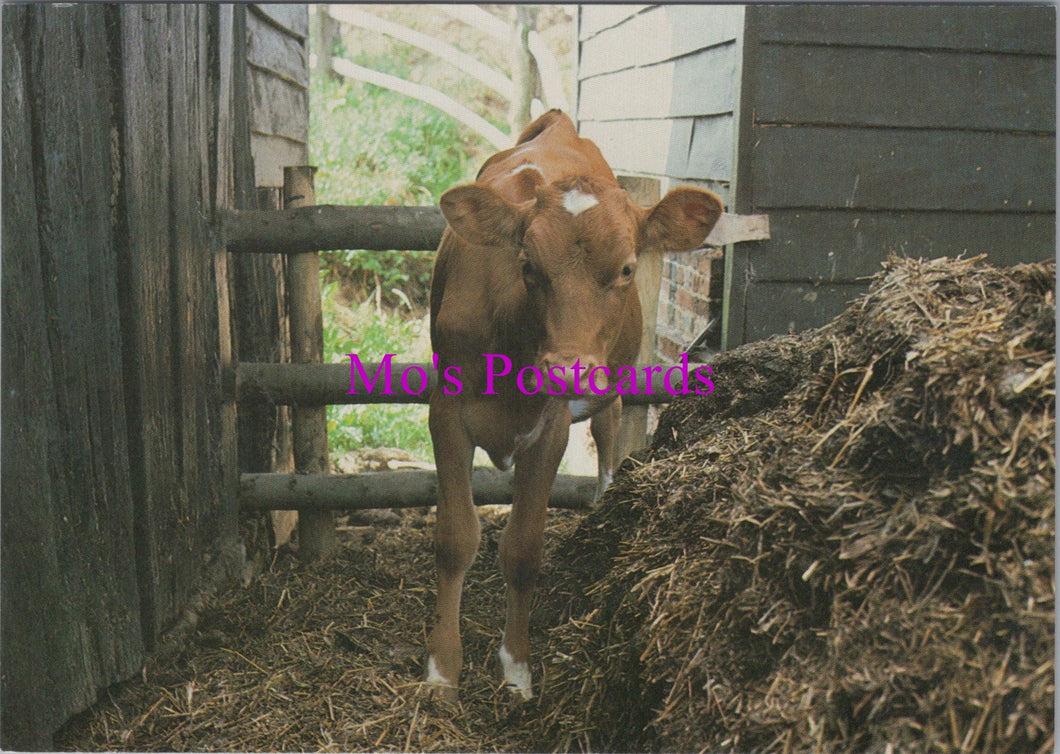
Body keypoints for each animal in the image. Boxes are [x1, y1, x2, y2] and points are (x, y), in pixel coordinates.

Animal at [426, 110, 722, 701]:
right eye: (528, 265)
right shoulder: (445, 413)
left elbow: (523, 549)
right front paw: (442, 670)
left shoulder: (552, 429)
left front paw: (517, 670)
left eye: (627, 269)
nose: (566, 370)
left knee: (608, 444)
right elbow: (455, 538)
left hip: (611, 390)